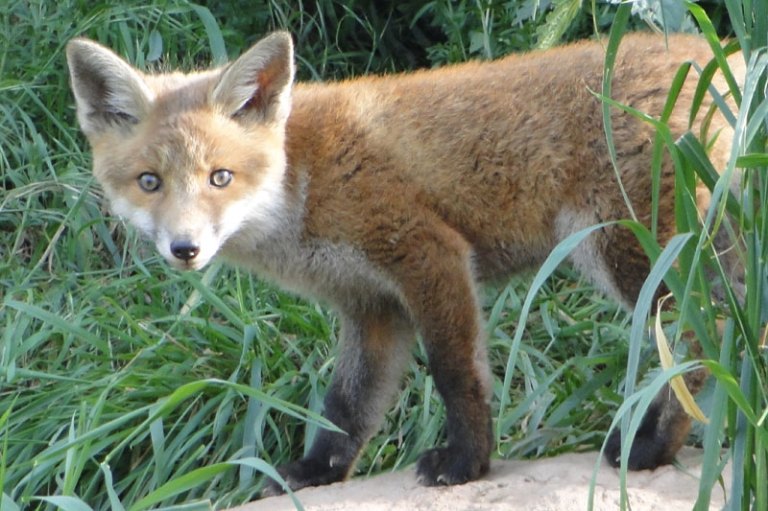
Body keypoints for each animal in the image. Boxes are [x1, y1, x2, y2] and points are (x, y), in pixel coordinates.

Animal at [66, 31, 742, 494]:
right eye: (149, 182)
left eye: (220, 177)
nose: (185, 250)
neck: (304, 181)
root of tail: (721, 54)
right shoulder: (372, 305)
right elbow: (348, 405)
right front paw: (317, 471)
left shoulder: (429, 255)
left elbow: (455, 374)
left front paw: (466, 463)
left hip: (628, 250)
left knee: (704, 333)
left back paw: (652, 445)